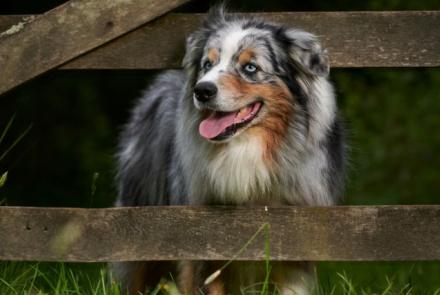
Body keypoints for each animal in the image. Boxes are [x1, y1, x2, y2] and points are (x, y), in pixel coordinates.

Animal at [114, 6, 348, 295]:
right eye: (207, 65)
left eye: (250, 67)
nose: (202, 90)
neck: (246, 148)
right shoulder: (201, 244)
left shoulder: (294, 244)